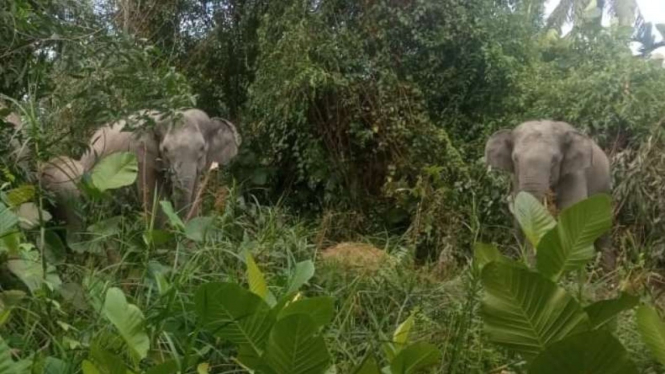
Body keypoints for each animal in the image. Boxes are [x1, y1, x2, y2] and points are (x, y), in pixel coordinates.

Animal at [482, 121, 612, 270]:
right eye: (515, 159)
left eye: (554, 160)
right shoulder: (516, 179)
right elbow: (518, 224)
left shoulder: (575, 174)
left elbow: (571, 213)